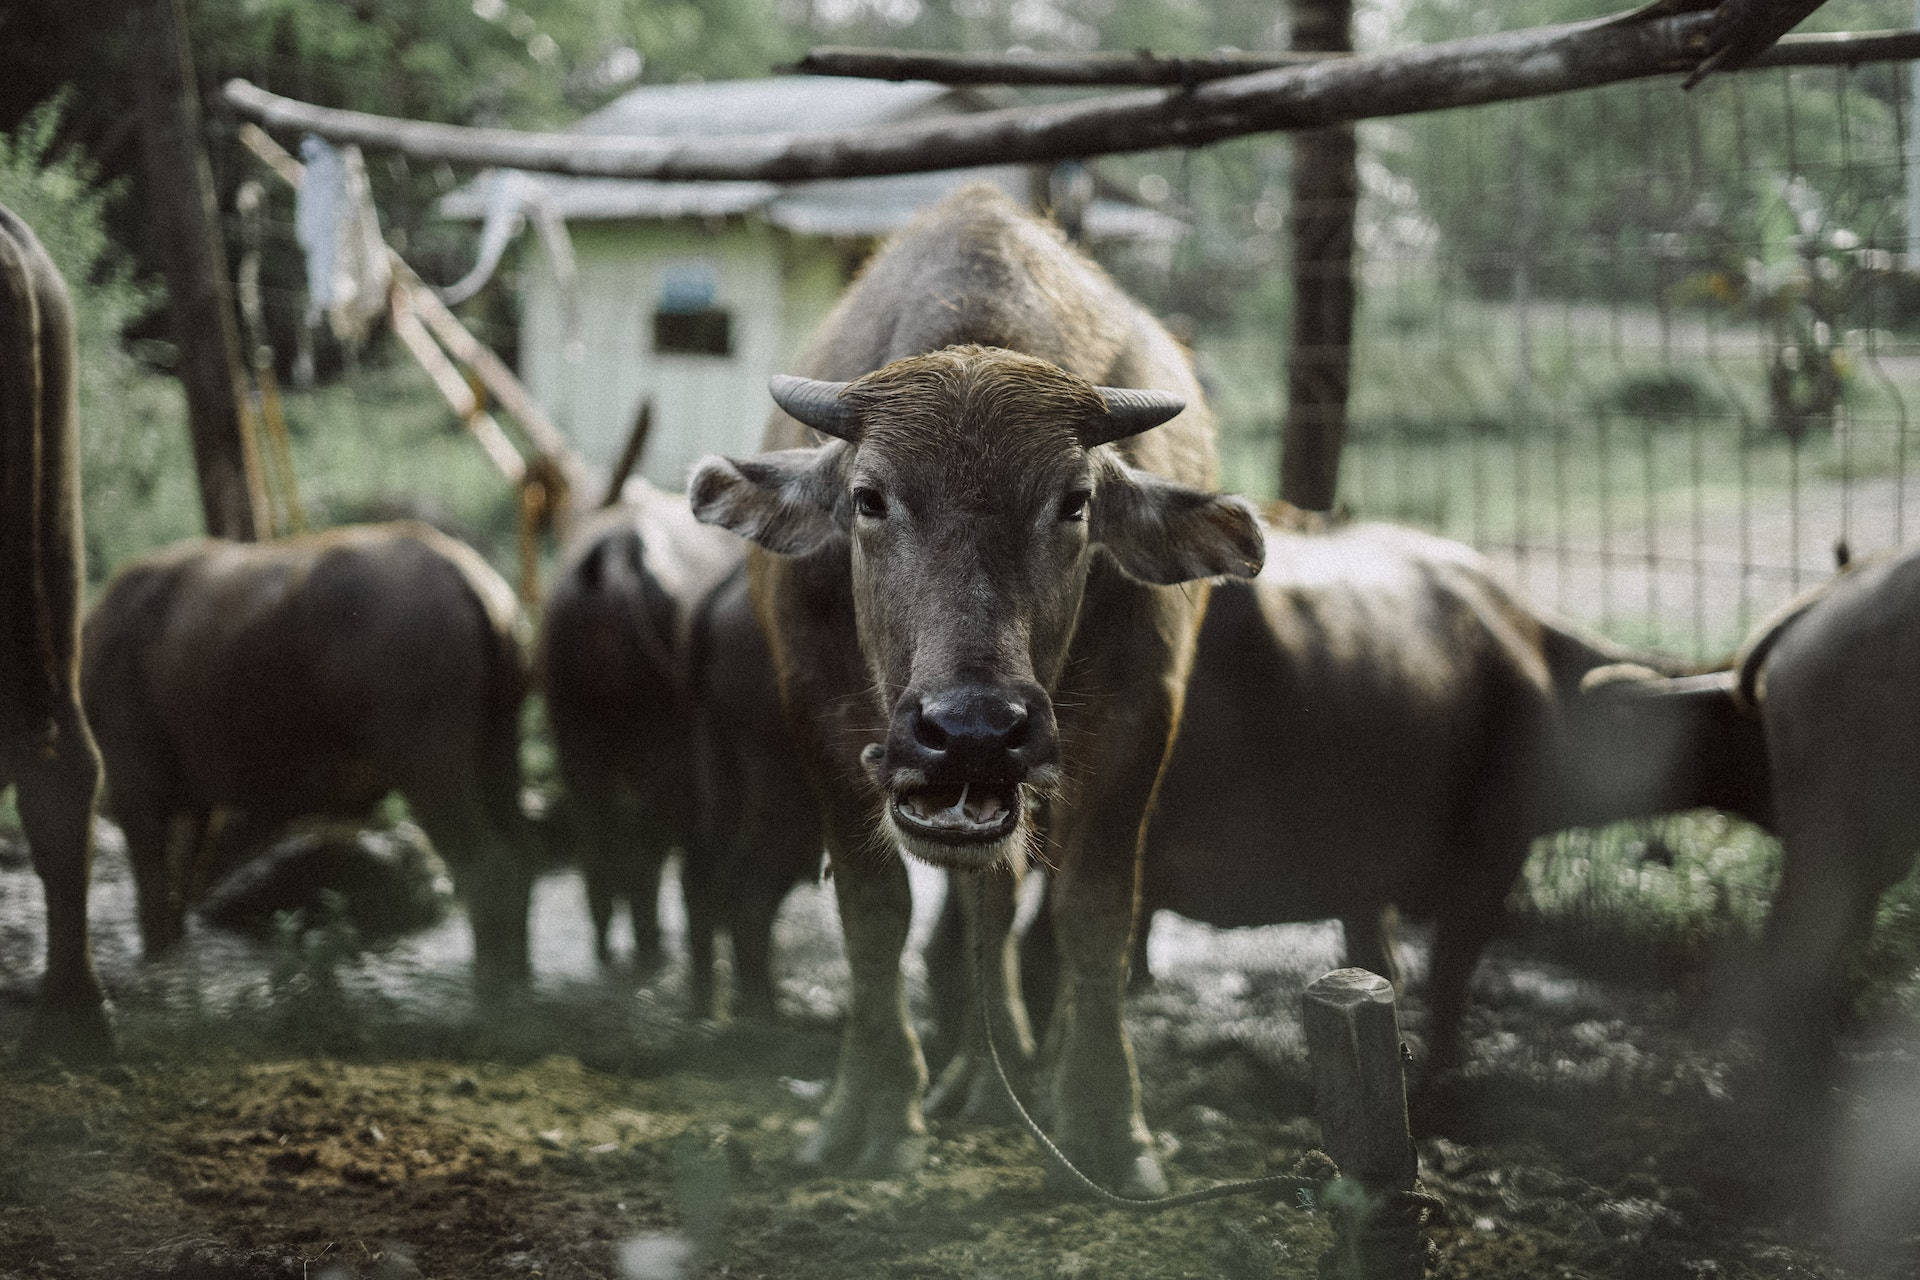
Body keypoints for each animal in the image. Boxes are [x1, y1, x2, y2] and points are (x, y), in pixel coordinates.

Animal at [79, 518, 533, 982]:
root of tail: (480, 588)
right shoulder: (194, 805)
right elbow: (175, 906)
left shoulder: (137, 786)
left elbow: (156, 908)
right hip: (500, 747)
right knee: (520, 859)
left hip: (429, 765)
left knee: (489, 868)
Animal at [687, 180, 1259, 1189]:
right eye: (869, 498)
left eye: (1075, 502)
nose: (973, 729)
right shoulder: (821, 713)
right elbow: (874, 910)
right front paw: (873, 1112)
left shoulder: (1139, 714)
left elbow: (1094, 910)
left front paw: (1106, 1123)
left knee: (1000, 893)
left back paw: (1004, 1077)